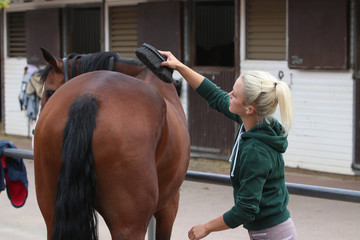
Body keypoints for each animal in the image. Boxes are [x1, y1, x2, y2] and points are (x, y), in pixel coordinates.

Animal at [33, 49, 191, 240]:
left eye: (49, 92)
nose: (33, 131)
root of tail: (88, 96)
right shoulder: (169, 205)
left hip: (51, 215)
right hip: (129, 226)